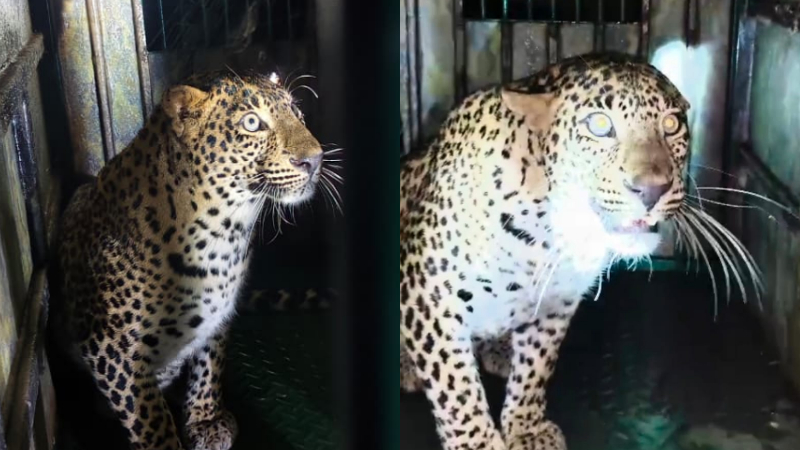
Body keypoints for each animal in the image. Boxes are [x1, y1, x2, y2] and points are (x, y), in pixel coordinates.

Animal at [51, 70, 328, 450]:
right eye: (252, 123)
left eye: (296, 112)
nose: (314, 160)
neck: (224, 234)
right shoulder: (110, 349)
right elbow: (148, 416)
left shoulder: (218, 315)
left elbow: (209, 366)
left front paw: (205, 420)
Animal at [399, 52, 760, 450]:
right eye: (599, 125)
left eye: (672, 124)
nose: (652, 190)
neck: (548, 234)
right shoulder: (430, 297)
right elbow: (457, 389)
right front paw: (477, 443)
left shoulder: (555, 304)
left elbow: (535, 368)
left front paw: (526, 428)